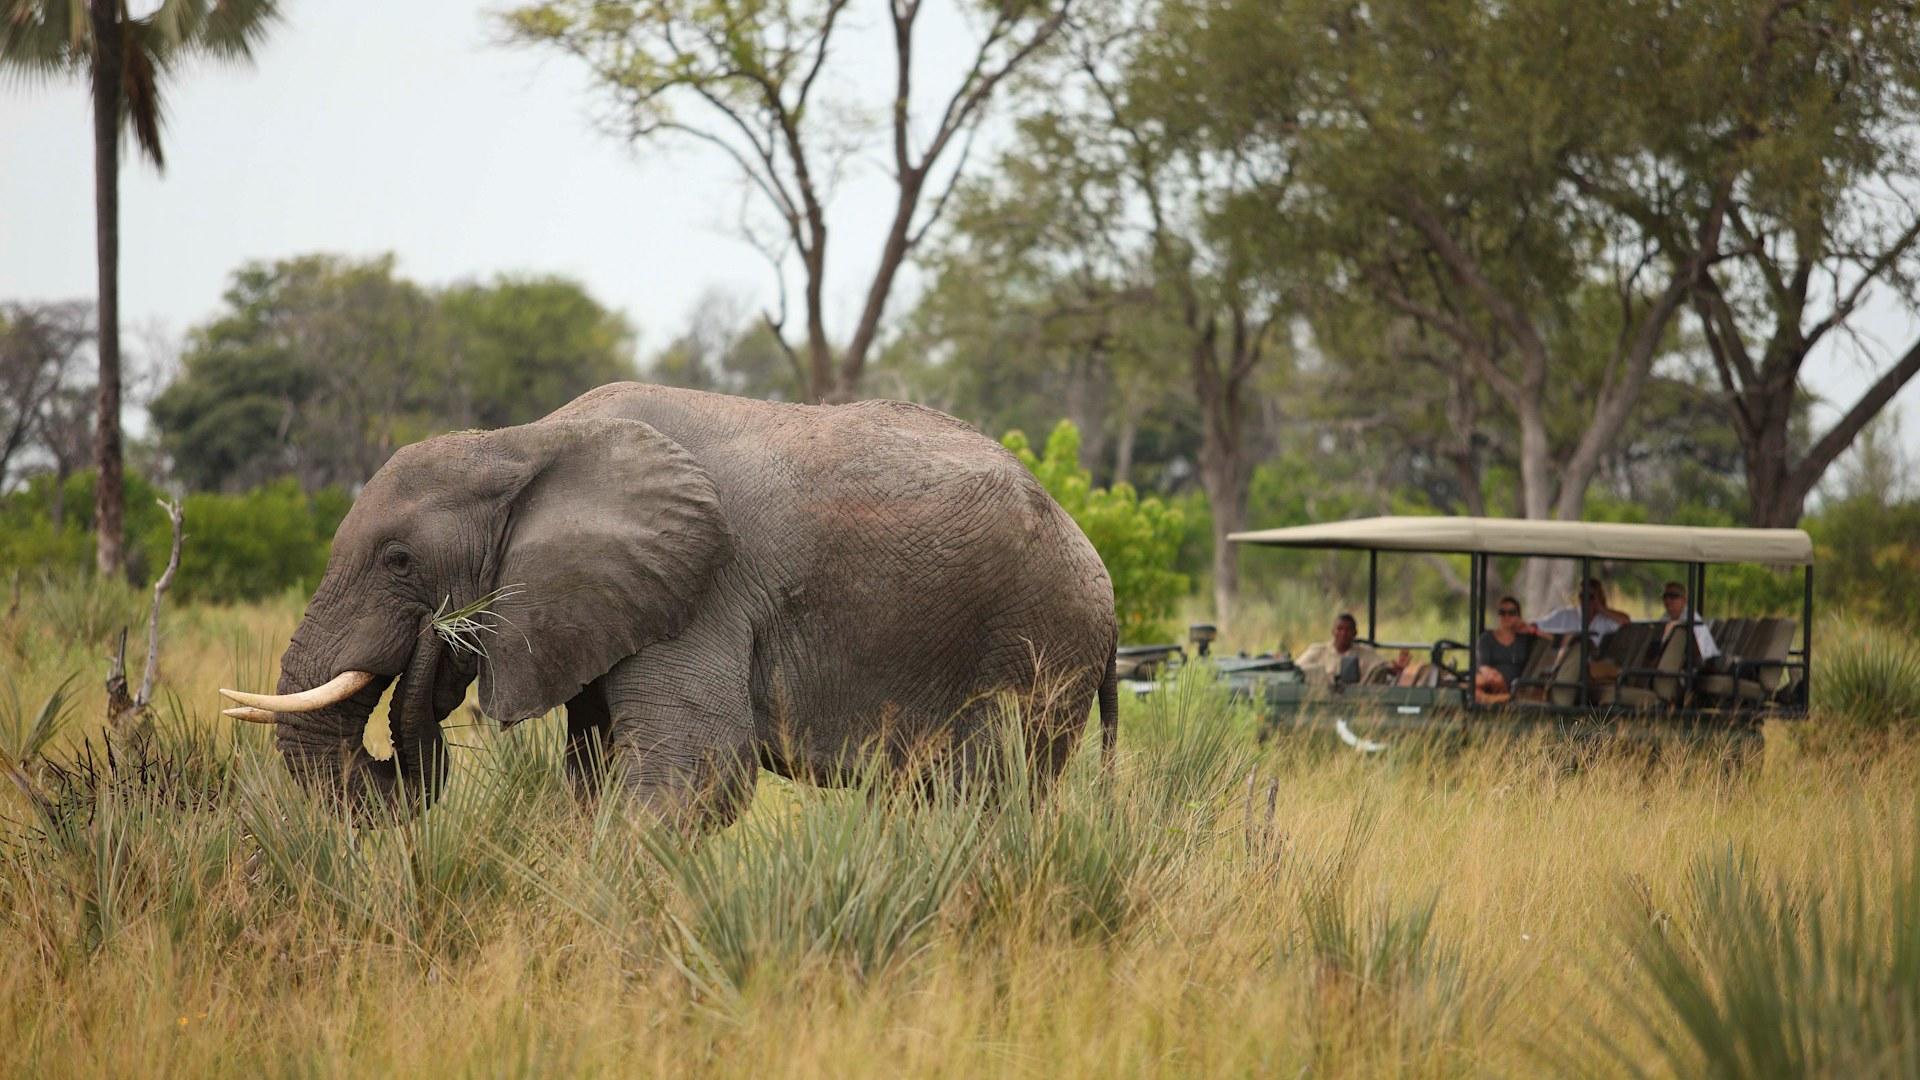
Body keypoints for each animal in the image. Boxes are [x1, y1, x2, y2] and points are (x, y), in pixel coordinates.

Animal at [221, 382, 1119, 826]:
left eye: (399, 560)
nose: (437, 647)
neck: (525, 442)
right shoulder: (600, 607)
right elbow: (592, 777)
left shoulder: (703, 589)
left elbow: (700, 772)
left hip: (1040, 645)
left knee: (990, 795)